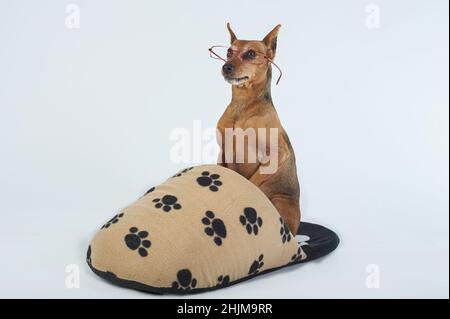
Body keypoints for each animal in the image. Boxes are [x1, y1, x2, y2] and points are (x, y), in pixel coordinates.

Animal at [215, 23, 300, 235]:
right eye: (228, 52)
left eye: (251, 54)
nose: (226, 67)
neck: (243, 106)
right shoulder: (222, 153)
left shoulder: (278, 153)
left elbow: (252, 183)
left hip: (280, 201)